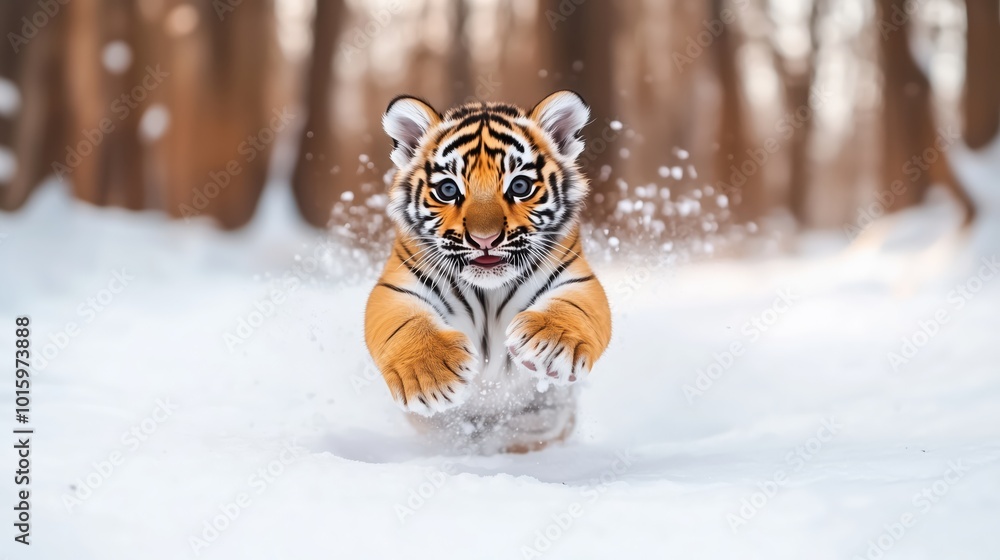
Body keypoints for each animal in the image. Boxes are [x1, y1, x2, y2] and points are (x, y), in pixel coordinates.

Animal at [364, 90, 612, 453]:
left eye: (520, 186)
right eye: (448, 190)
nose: (485, 239)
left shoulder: (577, 280)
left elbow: (572, 309)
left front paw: (549, 346)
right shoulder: (398, 288)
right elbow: (406, 324)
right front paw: (431, 378)